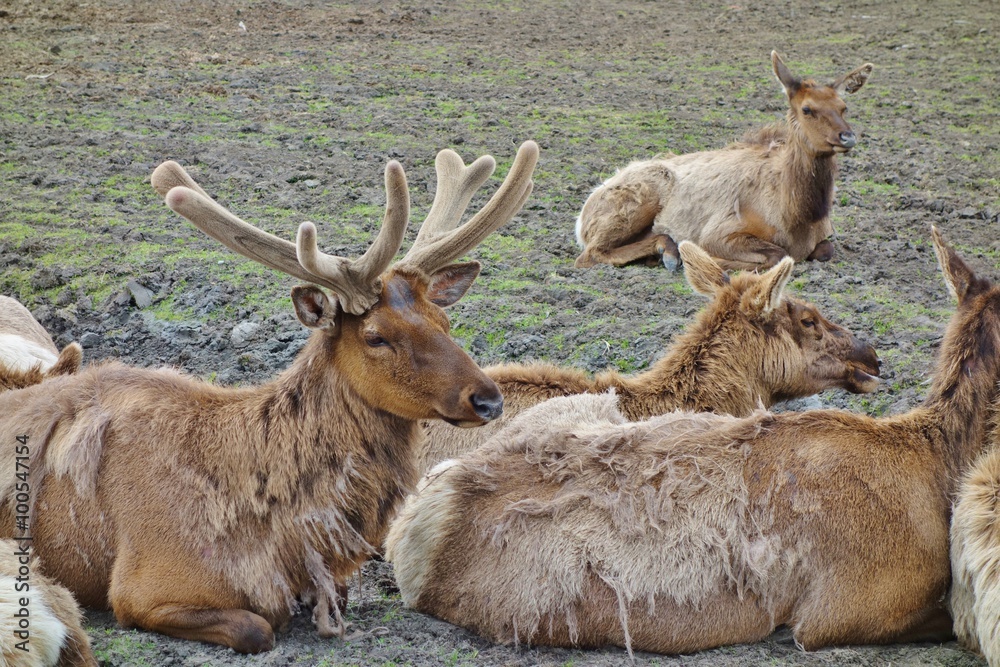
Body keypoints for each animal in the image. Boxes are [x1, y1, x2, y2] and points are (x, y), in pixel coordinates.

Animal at [0, 140, 539, 654]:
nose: (488, 400)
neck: (280, 534)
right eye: (376, 336)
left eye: (444, 320)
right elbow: (258, 627)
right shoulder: (142, 587)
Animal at [574, 51, 873, 272]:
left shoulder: (824, 237)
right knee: (589, 254)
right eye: (807, 109)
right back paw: (668, 252)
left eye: (843, 107)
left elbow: (825, 249)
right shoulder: (718, 231)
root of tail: (581, 220)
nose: (847, 137)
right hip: (639, 200)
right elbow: (776, 255)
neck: (798, 216)